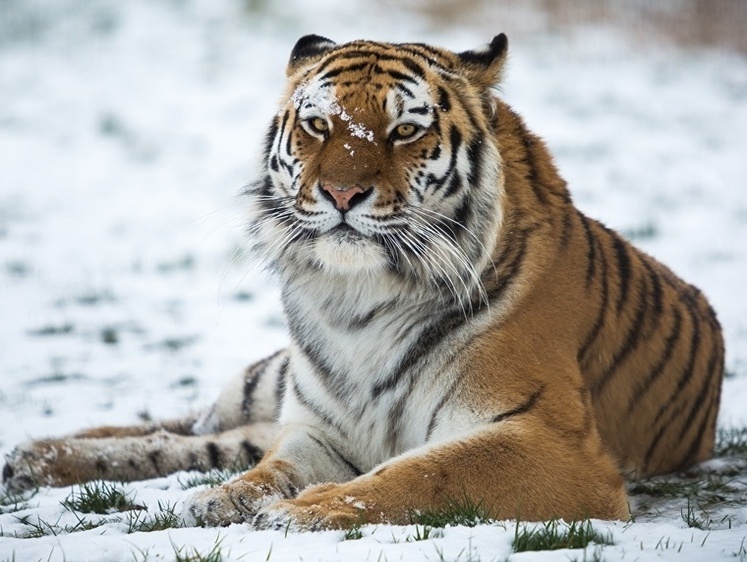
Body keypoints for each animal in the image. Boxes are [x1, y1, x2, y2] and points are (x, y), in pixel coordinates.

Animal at [0, 32, 724, 528]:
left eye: (403, 130)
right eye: (318, 124)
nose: (342, 193)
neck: (360, 301)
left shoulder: (552, 442)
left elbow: (424, 472)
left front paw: (305, 512)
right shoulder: (319, 427)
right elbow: (268, 468)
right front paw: (226, 501)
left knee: (199, 440)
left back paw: (34, 459)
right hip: (263, 384)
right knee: (182, 430)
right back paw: (35, 456)